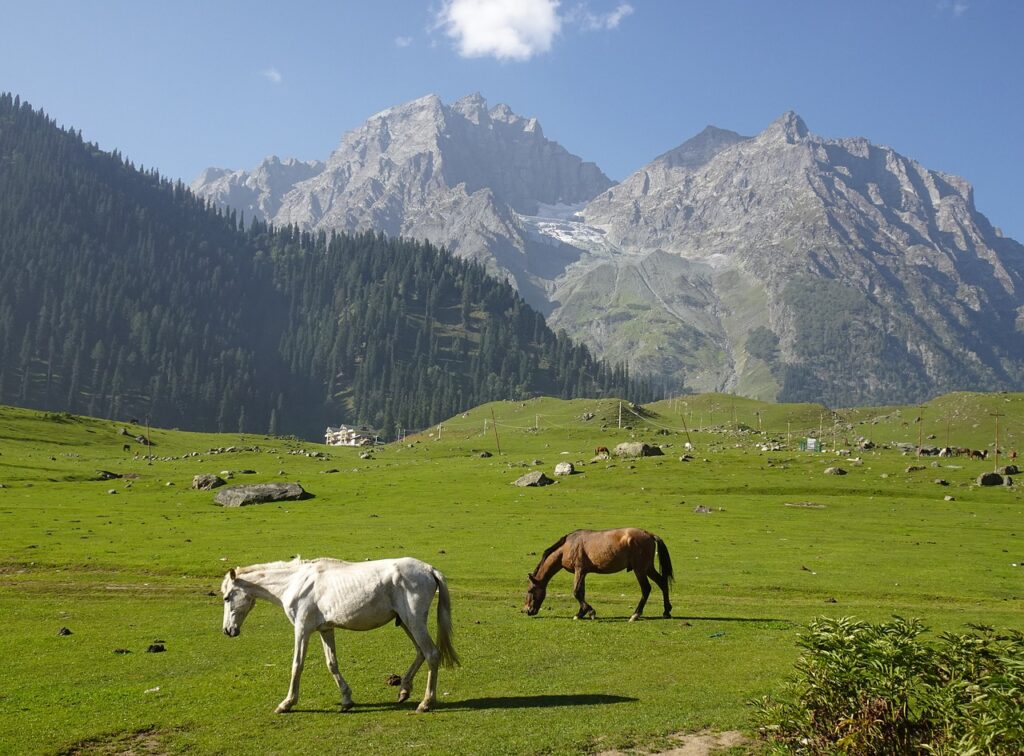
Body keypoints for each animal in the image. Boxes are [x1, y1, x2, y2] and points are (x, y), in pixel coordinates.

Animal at [222, 553, 458, 712]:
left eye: (226, 597)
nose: (227, 630)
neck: (295, 583)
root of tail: (429, 569)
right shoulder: (325, 629)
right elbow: (332, 664)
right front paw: (346, 700)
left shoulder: (302, 629)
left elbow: (297, 665)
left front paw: (287, 703)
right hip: (407, 623)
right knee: (421, 652)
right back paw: (404, 690)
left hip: (414, 622)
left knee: (431, 654)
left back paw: (426, 703)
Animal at [524, 528, 675, 622]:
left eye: (530, 590)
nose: (526, 610)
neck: (567, 546)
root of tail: (649, 534)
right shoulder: (583, 573)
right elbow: (581, 592)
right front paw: (580, 613)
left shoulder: (579, 570)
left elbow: (576, 592)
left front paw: (589, 612)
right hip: (648, 568)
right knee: (662, 583)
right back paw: (666, 612)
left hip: (640, 570)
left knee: (646, 589)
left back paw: (635, 615)